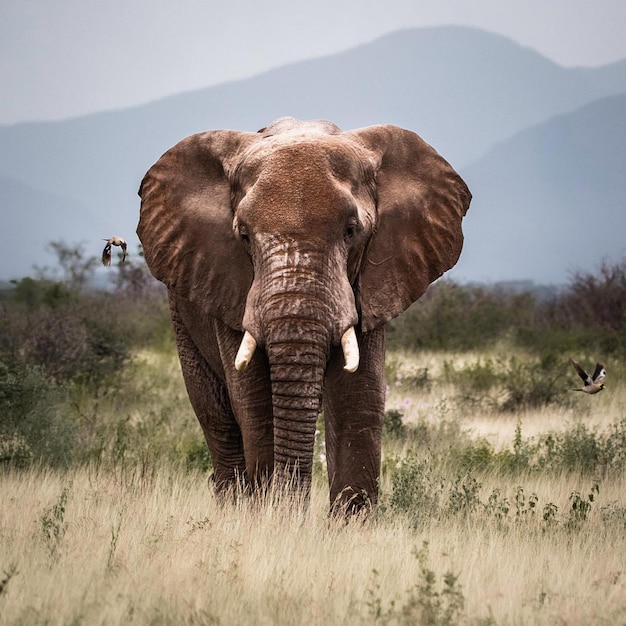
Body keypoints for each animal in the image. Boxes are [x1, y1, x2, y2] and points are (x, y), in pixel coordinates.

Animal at [136, 116, 468, 512]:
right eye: (243, 235)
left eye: (352, 231)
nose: (290, 509)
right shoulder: (229, 283)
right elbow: (255, 402)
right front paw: (268, 516)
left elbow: (357, 397)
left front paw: (348, 523)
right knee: (216, 416)